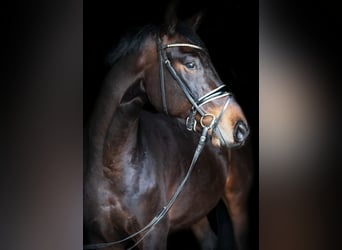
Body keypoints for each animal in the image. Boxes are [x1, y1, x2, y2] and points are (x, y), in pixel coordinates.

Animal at [84, 12, 252, 250]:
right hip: (195, 211)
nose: (240, 127)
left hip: (238, 202)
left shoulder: (154, 236)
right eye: (190, 64)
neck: (111, 165)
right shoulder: (100, 239)